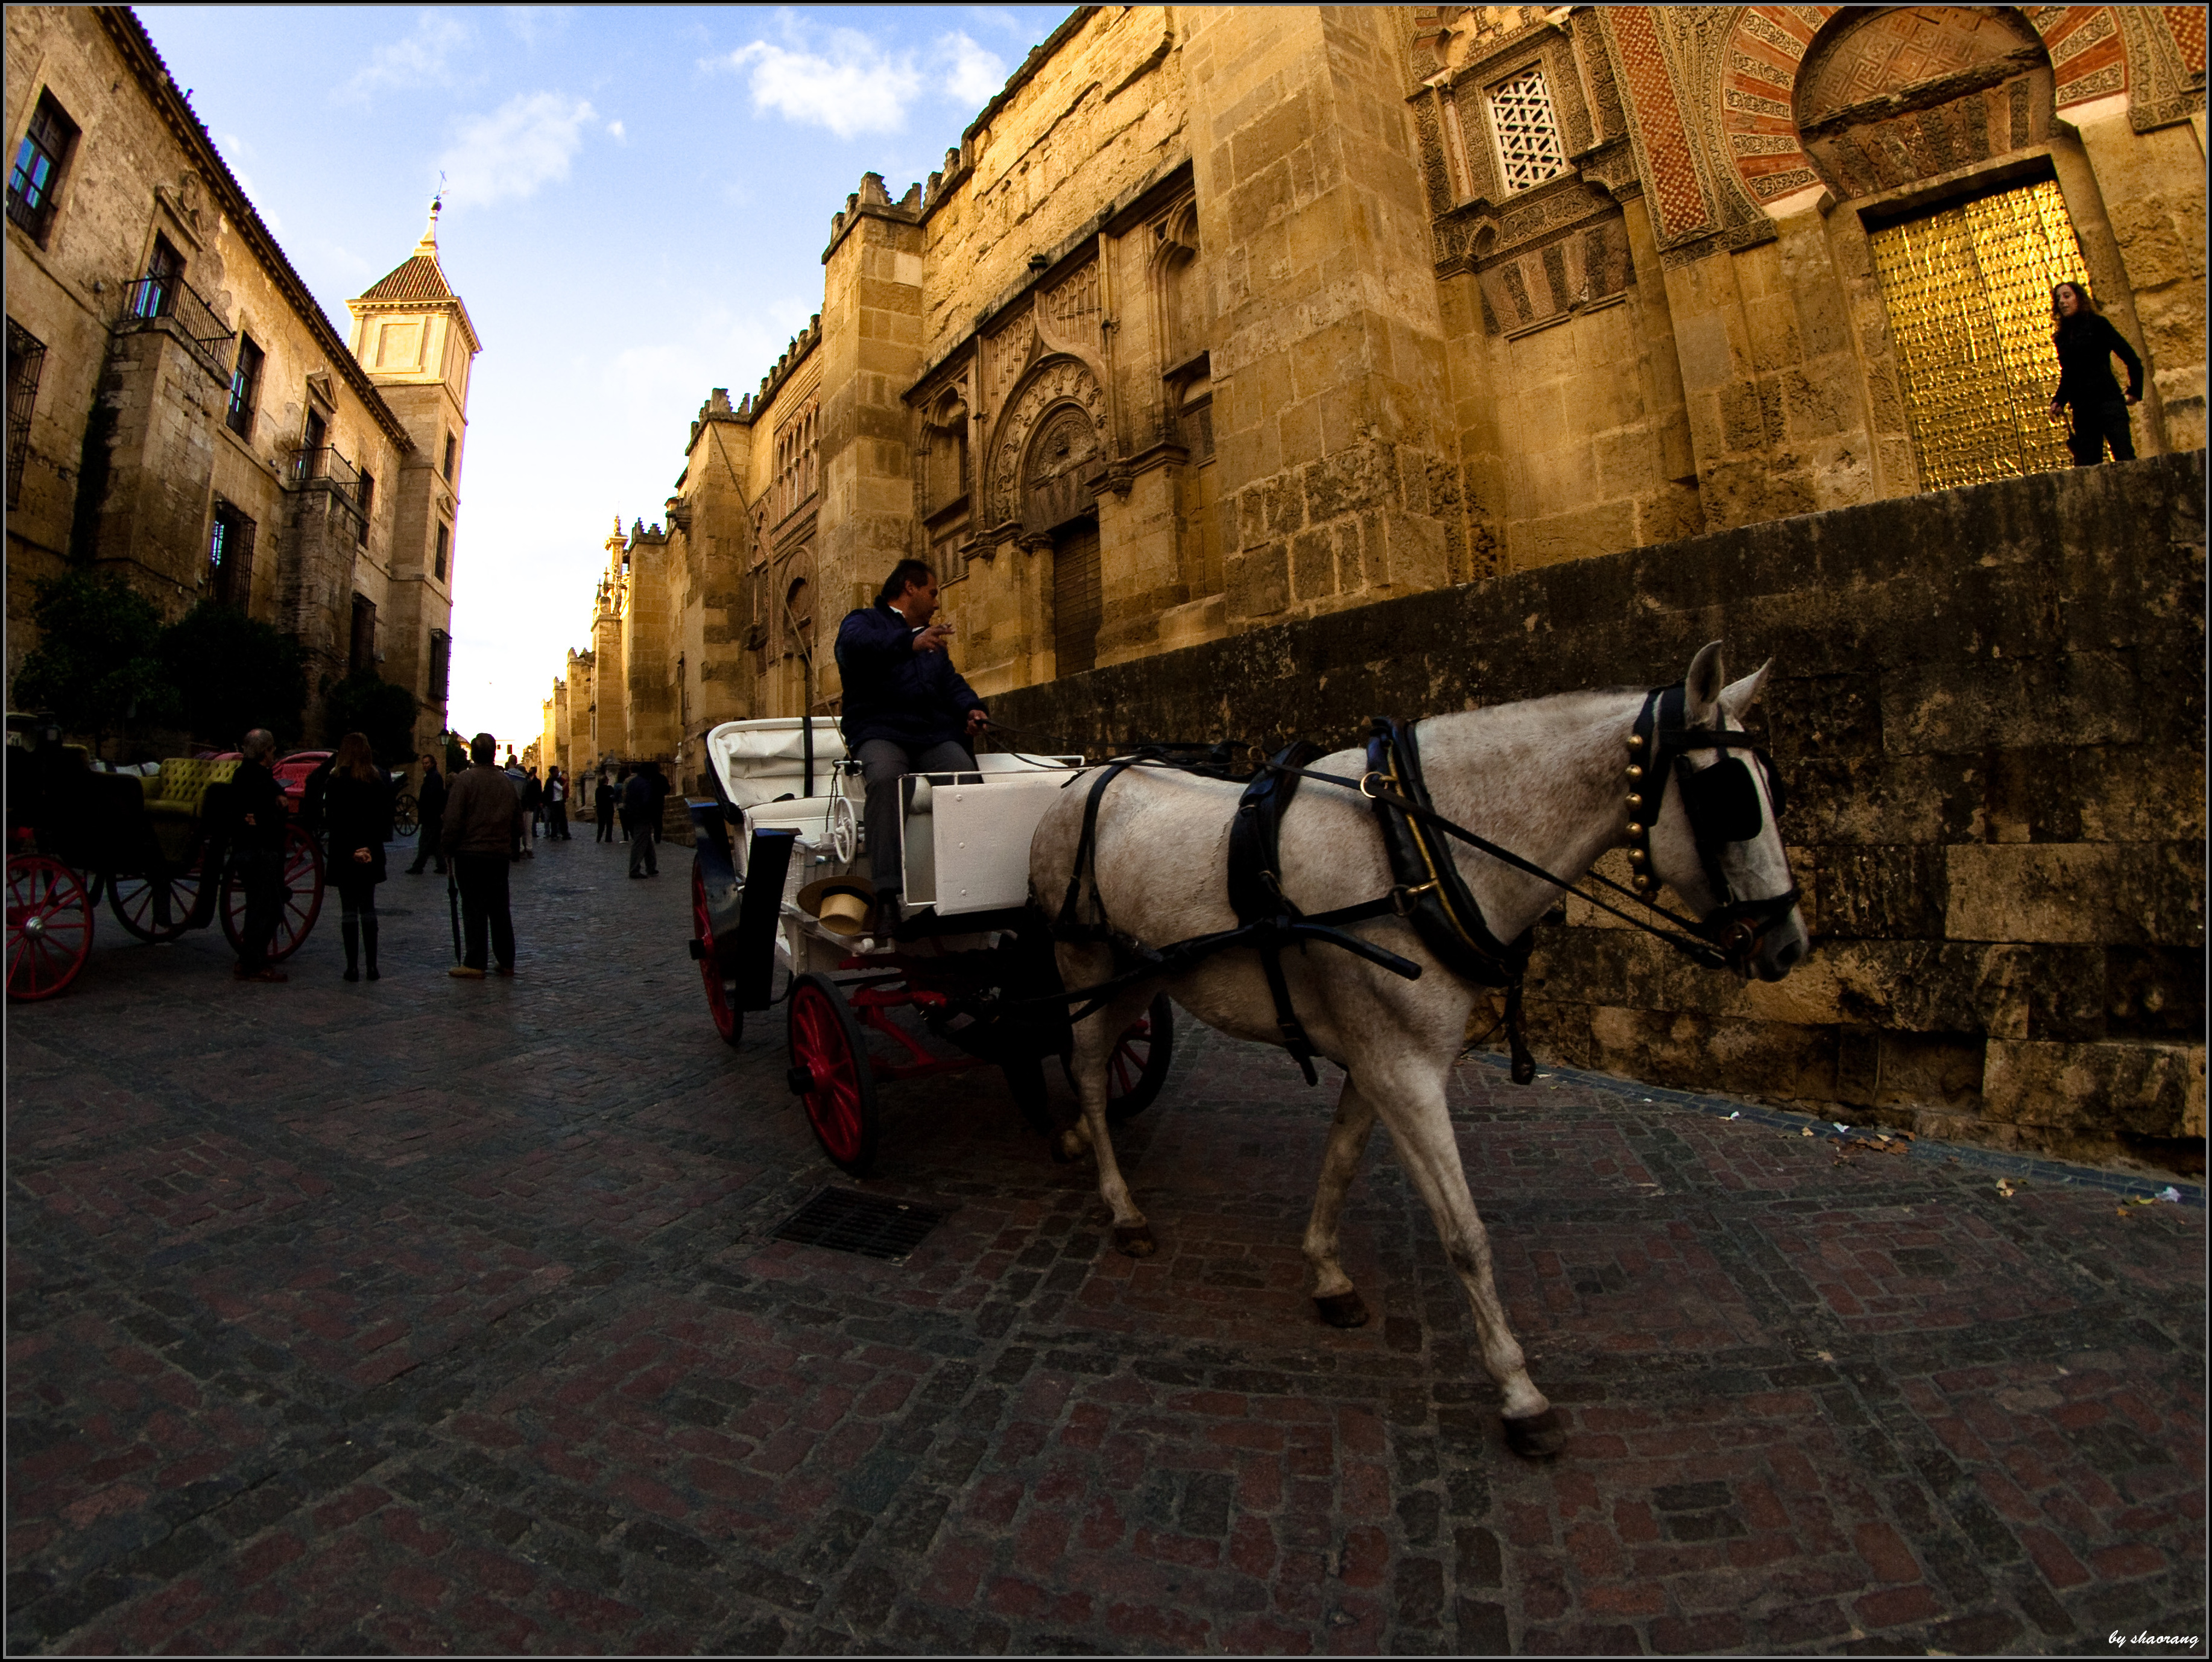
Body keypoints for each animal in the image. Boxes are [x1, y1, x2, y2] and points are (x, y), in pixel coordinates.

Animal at [1026, 642, 1805, 1452]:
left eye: (1771, 788)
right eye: (1729, 798)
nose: (1789, 944)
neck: (1417, 858)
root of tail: (1081, 778)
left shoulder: (1377, 1058)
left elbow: (1339, 1163)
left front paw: (1327, 1273)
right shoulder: (1406, 1069)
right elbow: (1463, 1232)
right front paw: (1518, 1391)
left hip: (1142, 974)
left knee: (1104, 1058)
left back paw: (1078, 1138)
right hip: (1084, 962)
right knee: (1087, 1070)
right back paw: (1122, 1206)